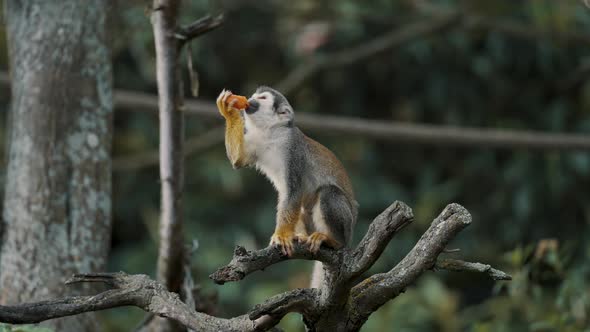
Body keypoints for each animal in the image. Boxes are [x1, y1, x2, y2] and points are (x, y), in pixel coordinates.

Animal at [216, 87, 358, 286]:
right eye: (253, 96)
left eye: (262, 98)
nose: (250, 100)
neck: (271, 133)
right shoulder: (256, 139)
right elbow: (239, 161)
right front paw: (228, 110)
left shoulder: (293, 148)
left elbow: (294, 190)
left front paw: (282, 235)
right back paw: (302, 236)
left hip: (348, 226)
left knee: (328, 192)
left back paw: (334, 241)